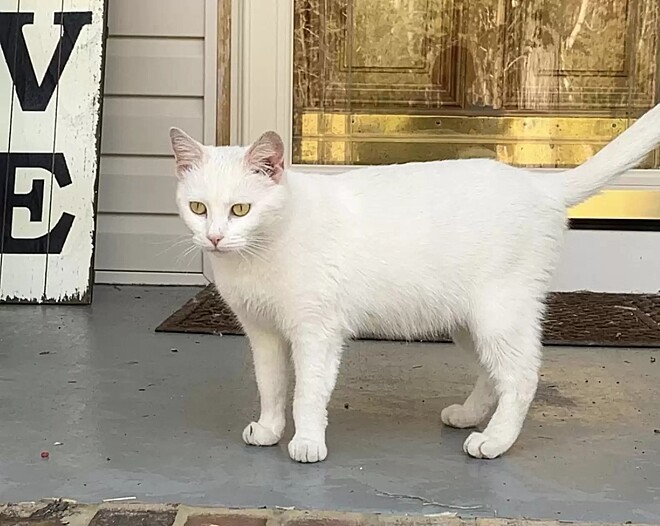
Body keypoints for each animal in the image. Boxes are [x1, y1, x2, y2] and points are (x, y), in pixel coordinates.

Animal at [168, 105, 660, 464]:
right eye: (198, 207)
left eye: (240, 210)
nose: (214, 237)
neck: (259, 253)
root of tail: (544, 187)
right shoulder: (263, 333)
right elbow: (271, 386)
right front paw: (270, 429)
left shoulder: (316, 333)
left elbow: (307, 392)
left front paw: (306, 442)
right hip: (468, 325)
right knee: (493, 374)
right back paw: (470, 417)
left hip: (498, 317)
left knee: (521, 376)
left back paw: (494, 441)